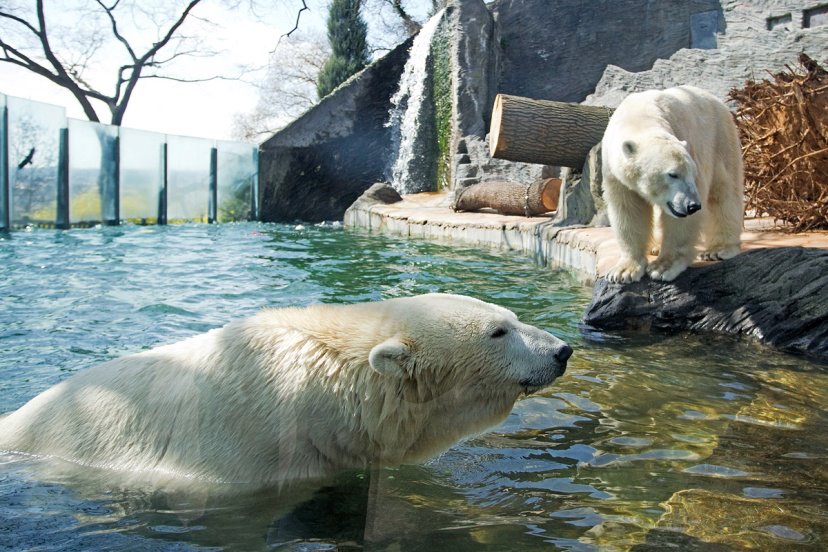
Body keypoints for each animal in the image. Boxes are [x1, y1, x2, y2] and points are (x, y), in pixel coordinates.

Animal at [600, 87, 744, 284]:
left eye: (692, 173)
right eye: (672, 174)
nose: (693, 205)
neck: (639, 119)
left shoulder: (690, 146)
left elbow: (680, 222)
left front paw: (662, 267)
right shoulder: (614, 173)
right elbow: (629, 210)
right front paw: (624, 272)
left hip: (720, 137)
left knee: (724, 191)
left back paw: (719, 249)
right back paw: (654, 247)